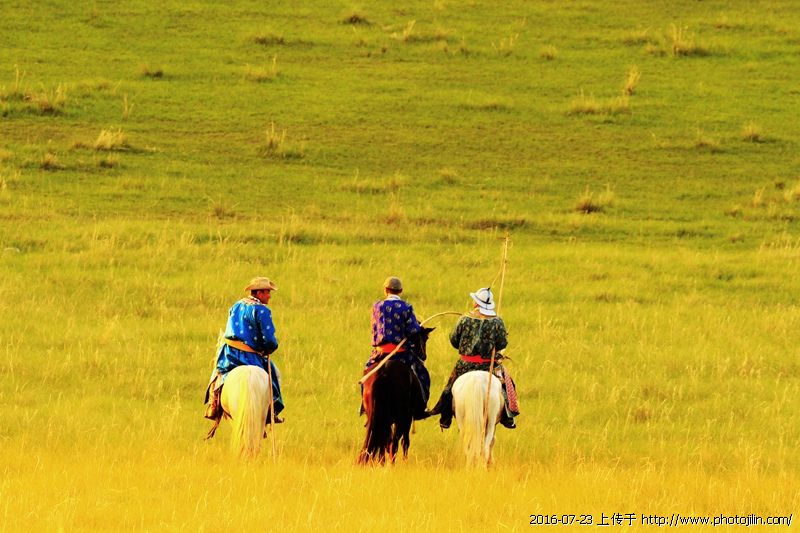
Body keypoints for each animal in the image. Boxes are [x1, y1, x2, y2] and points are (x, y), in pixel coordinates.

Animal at [357, 327, 433, 465]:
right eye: (425, 338)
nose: (423, 356)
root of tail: (383, 373)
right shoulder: (407, 418)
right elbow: (405, 442)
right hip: (400, 417)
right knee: (393, 443)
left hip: (377, 415)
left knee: (382, 441)